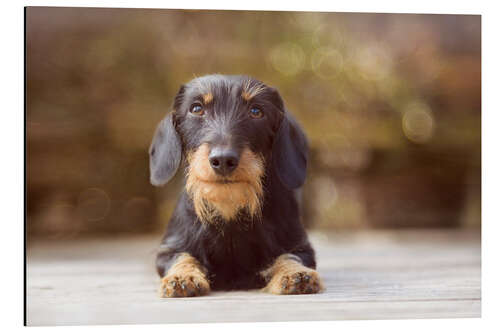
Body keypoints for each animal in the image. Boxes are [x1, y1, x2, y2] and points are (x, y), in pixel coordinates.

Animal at [148, 74, 324, 296]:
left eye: (256, 111)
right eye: (196, 108)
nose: (223, 160)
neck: (229, 210)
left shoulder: (301, 247)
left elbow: (289, 256)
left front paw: (295, 274)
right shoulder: (169, 249)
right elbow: (182, 256)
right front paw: (181, 277)